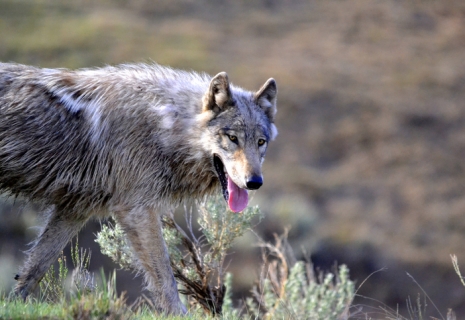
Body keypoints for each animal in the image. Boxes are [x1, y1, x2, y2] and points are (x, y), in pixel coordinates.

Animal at [0, 63, 276, 316]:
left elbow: (34, 269)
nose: (255, 182)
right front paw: (178, 314)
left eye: (261, 142)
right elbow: (165, 277)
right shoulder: (138, 211)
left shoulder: (74, 210)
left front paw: (13, 305)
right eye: (232, 138)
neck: (166, 126)